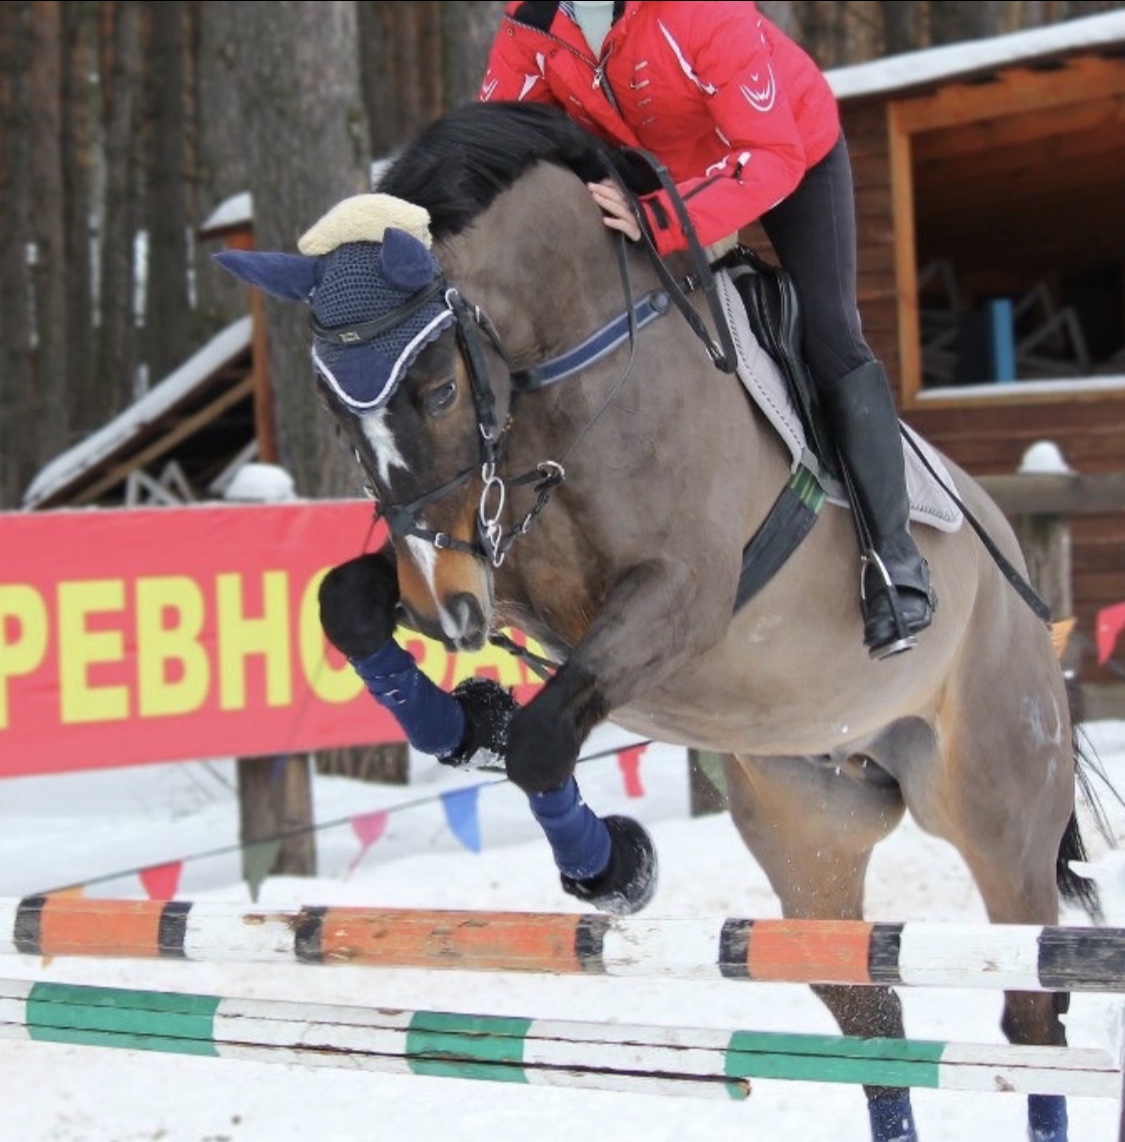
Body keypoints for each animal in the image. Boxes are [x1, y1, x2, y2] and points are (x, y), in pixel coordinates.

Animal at [215, 100, 1108, 1142]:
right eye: (330, 405)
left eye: (436, 390)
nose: (446, 613)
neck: (564, 372)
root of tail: (1020, 584)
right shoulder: (492, 559)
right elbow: (350, 605)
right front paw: (469, 720)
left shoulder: (678, 596)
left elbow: (546, 739)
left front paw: (609, 866)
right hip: (807, 826)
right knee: (868, 1012)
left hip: (995, 807)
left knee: (1031, 1013)